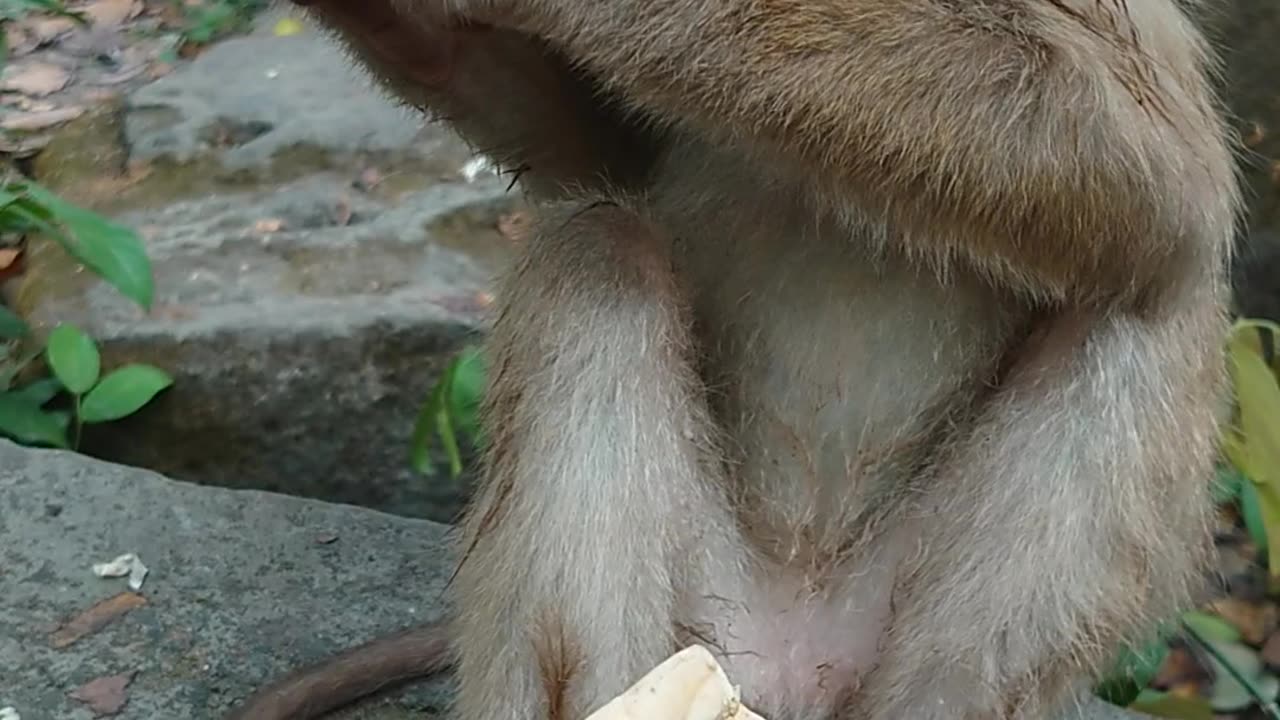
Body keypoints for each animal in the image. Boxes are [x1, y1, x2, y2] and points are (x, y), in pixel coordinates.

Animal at [227, 1, 1239, 717]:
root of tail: (791, 664)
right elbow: (595, 153)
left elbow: (1144, 157)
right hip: (705, 608)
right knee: (597, 257)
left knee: (1146, 301)